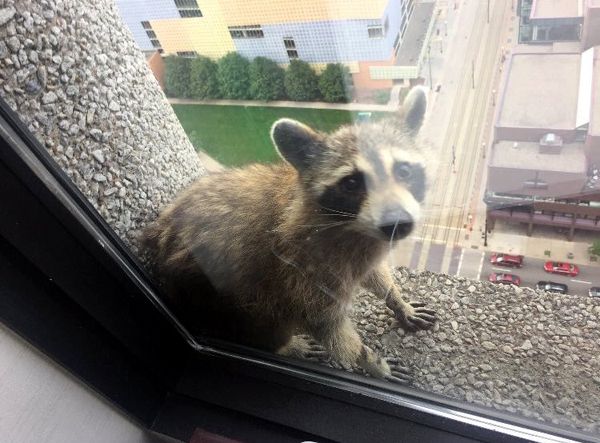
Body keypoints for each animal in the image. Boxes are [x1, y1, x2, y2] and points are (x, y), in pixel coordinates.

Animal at [144, 87, 436, 386]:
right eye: (352, 183)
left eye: (403, 170)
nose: (398, 224)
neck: (352, 226)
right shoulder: (302, 268)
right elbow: (326, 325)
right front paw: (372, 362)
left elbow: (374, 273)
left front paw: (395, 298)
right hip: (219, 300)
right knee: (263, 317)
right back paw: (284, 346)